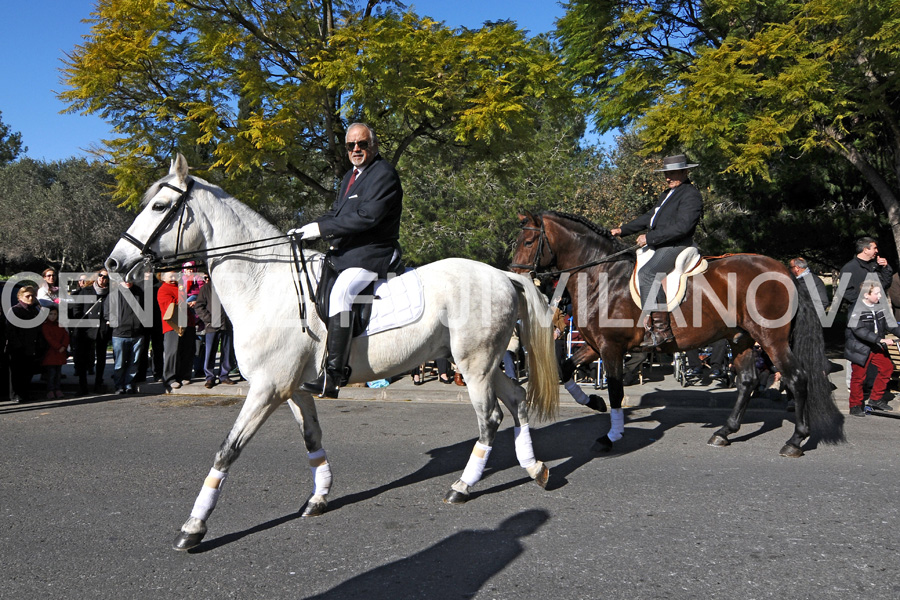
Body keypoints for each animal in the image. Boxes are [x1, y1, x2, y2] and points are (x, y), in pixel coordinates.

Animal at [103, 156, 556, 552]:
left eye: (160, 206)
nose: (114, 263)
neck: (263, 283)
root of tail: (502, 275)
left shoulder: (266, 389)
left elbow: (227, 449)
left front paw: (193, 527)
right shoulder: (295, 390)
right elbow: (312, 438)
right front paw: (319, 498)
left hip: (475, 366)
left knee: (491, 418)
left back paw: (463, 486)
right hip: (484, 362)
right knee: (517, 400)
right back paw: (535, 469)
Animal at [512, 210, 844, 454]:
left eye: (528, 242)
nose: (515, 280)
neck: (603, 276)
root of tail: (784, 271)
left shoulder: (611, 347)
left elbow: (617, 390)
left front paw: (612, 435)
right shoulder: (594, 344)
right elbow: (565, 369)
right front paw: (594, 402)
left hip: (771, 339)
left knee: (796, 378)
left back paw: (795, 441)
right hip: (742, 338)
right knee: (747, 382)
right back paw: (725, 432)